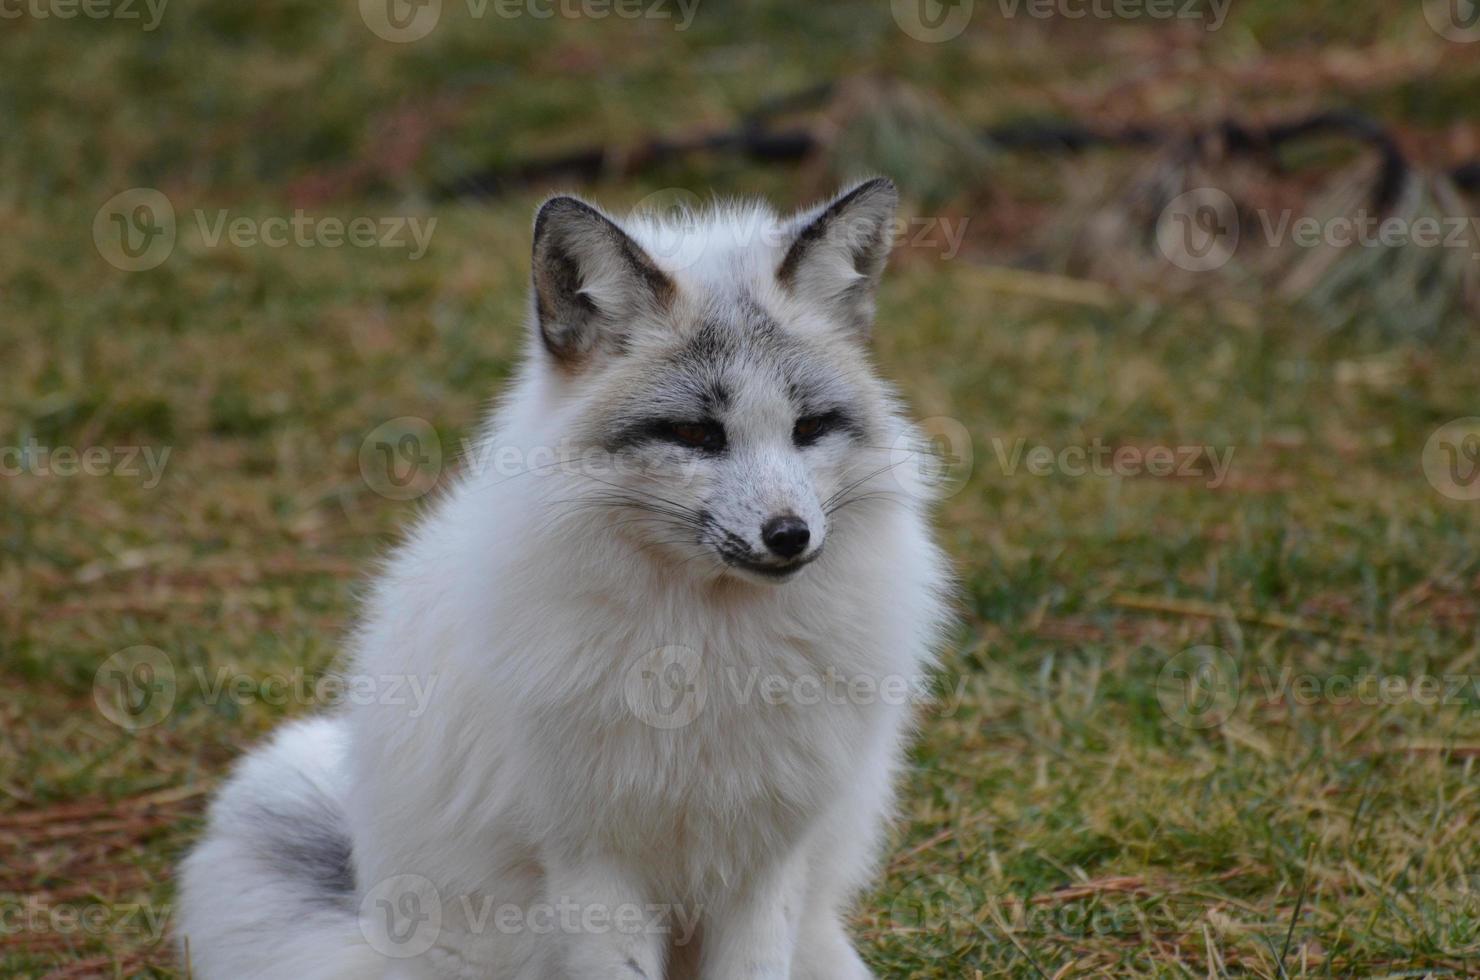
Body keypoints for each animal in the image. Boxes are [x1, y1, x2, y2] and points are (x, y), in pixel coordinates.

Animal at [179, 178, 953, 980]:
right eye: (697, 434)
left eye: (809, 428)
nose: (790, 535)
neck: (703, 659)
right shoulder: (592, 864)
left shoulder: (767, 864)